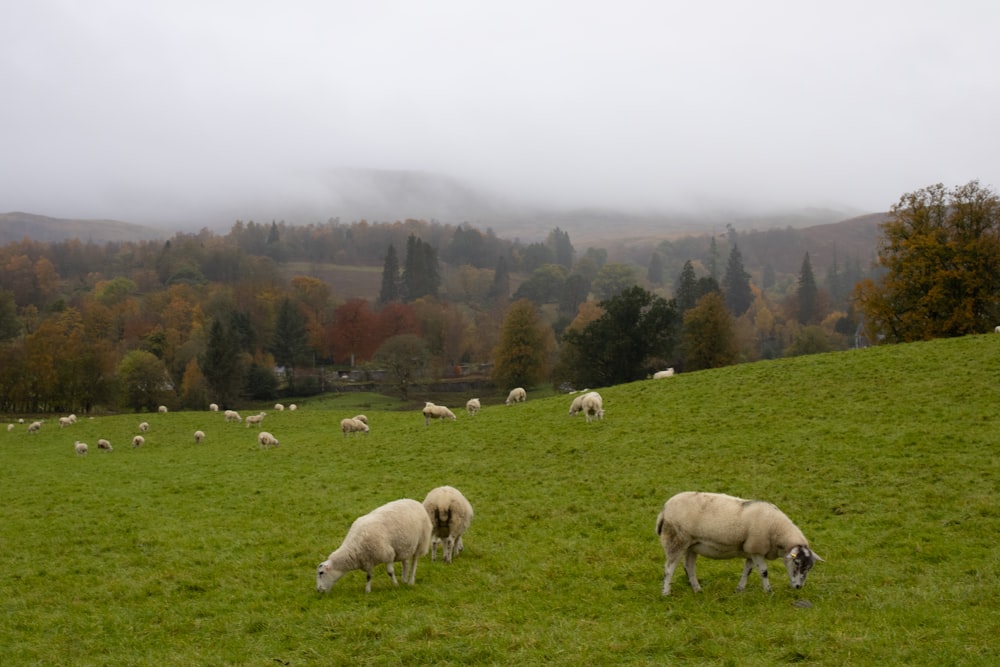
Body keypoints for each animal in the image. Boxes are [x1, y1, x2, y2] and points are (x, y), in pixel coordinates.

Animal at [652, 490, 824, 596]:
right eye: (796, 563)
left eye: (810, 567)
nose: (798, 587)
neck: (777, 530)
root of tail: (664, 509)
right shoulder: (757, 549)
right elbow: (764, 572)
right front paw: (768, 591)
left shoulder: (751, 551)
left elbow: (747, 571)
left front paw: (739, 589)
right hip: (676, 540)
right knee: (669, 569)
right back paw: (666, 592)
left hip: (692, 545)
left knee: (689, 567)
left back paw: (697, 589)